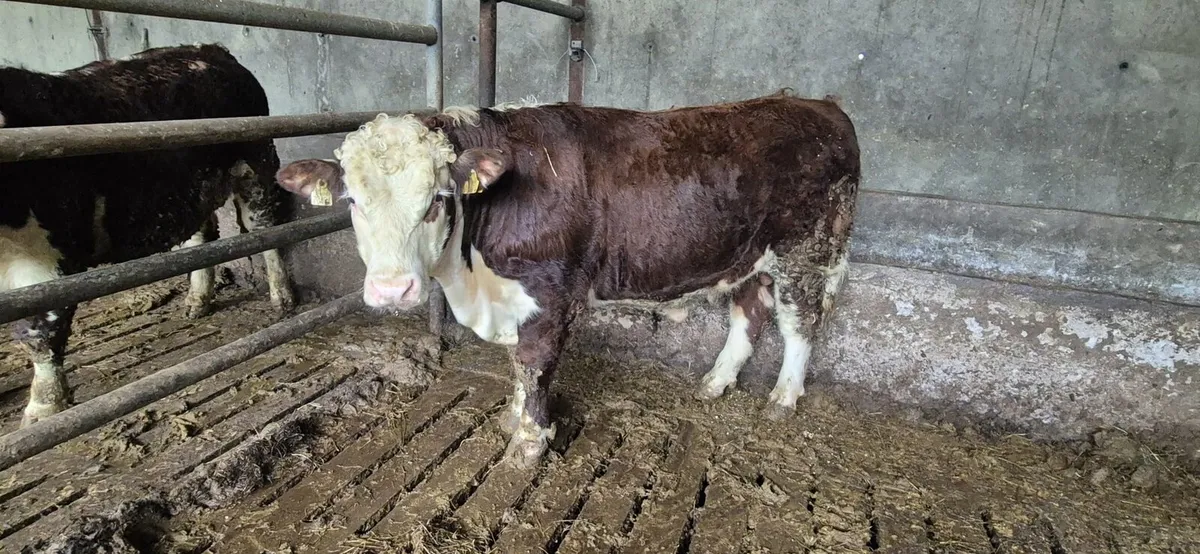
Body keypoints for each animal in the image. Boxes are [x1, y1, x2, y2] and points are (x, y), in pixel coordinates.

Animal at [0, 44, 295, 427]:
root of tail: (211, 50)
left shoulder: (52, 255)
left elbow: (40, 330)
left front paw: (44, 410)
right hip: (191, 192)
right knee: (202, 238)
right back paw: (197, 301)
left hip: (255, 166)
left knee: (266, 230)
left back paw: (282, 298)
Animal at [275, 93, 860, 467]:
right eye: (353, 202)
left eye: (437, 200)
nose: (392, 290)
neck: (475, 279)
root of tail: (819, 104)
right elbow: (515, 364)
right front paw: (513, 420)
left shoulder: (550, 295)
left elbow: (534, 366)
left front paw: (528, 445)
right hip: (747, 255)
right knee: (749, 311)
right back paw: (715, 382)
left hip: (808, 251)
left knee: (800, 322)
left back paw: (783, 398)